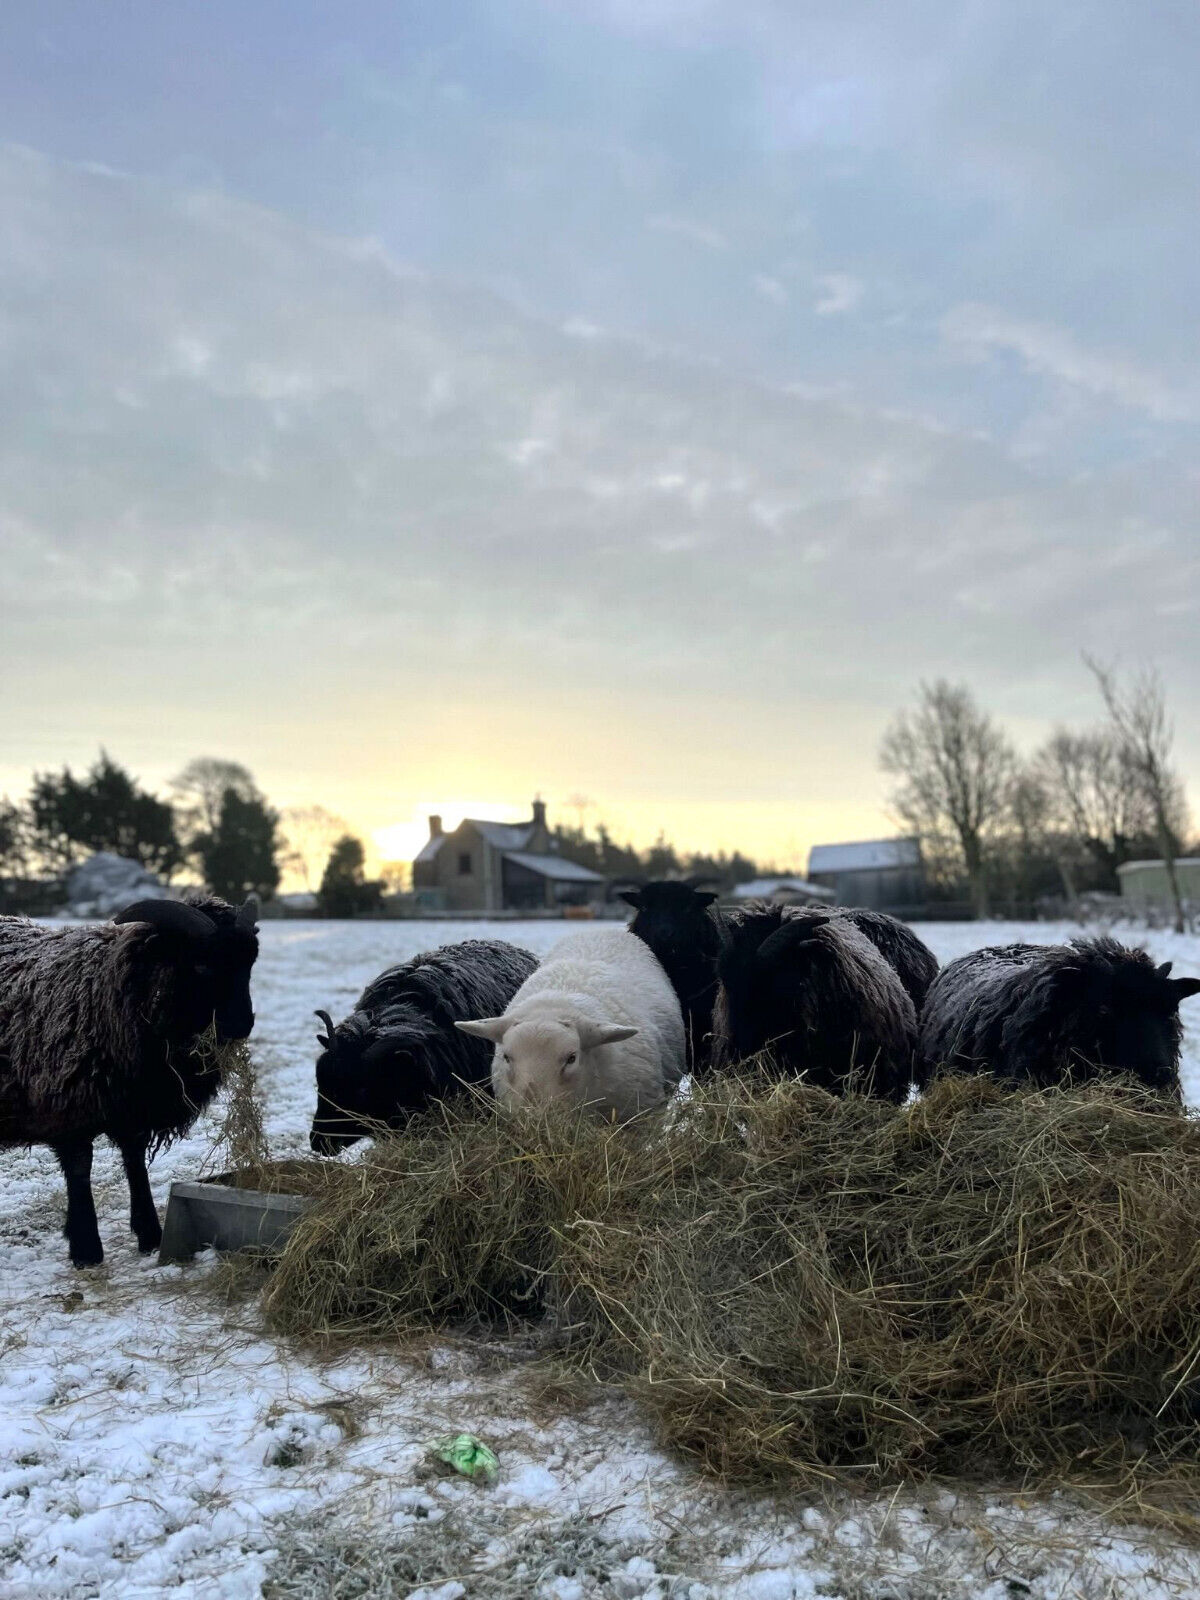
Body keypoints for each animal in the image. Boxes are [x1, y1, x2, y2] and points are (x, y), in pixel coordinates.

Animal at [0, 896, 262, 1267]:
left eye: (249, 965)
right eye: (200, 965)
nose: (240, 1025)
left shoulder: (133, 1108)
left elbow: (134, 1162)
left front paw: (150, 1234)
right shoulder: (67, 1107)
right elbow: (80, 1169)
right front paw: (86, 1250)